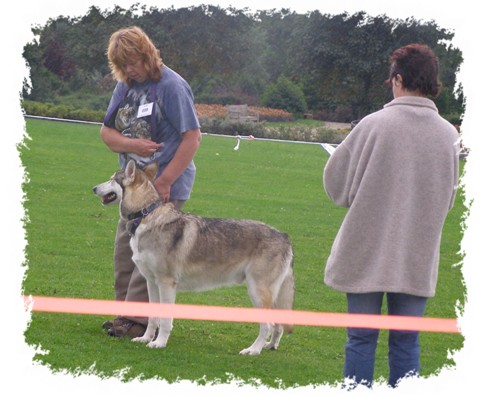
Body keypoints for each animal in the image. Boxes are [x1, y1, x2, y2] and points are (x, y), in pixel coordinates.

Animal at [93, 161, 294, 356]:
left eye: (112, 179)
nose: (94, 188)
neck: (146, 215)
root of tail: (285, 237)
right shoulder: (151, 283)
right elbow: (153, 318)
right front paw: (145, 339)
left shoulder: (166, 284)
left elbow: (165, 320)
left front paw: (159, 343)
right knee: (278, 325)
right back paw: (270, 346)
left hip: (257, 292)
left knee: (267, 325)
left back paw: (253, 350)